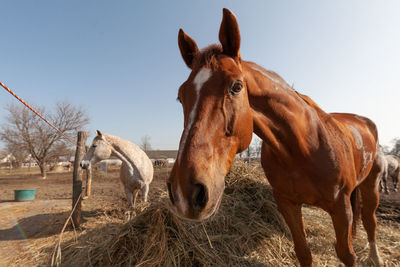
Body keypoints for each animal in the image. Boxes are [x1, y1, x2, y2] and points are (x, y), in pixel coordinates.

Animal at [167, 8, 382, 267]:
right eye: (180, 96)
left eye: (236, 87)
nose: (185, 193)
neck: (303, 147)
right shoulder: (287, 203)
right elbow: (303, 252)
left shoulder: (341, 207)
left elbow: (347, 254)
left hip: (371, 185)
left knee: (370, 221)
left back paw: (375, 257)